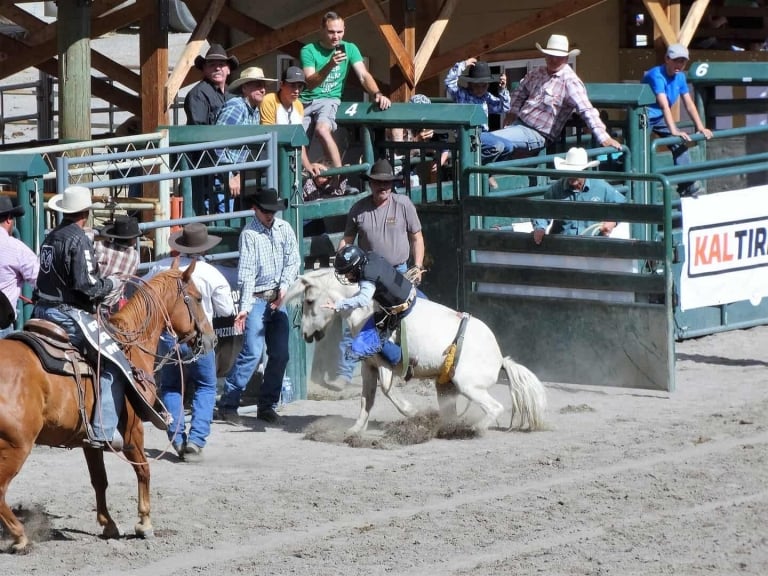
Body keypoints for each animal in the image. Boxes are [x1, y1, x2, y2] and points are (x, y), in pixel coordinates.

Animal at [0, 260, 214, 552]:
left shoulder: (91, 440)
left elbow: (99, 480)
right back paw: (20, 536)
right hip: (16, 445)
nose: (212, 339)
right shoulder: (134, 430)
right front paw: (144, 523)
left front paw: (109, 524)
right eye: (198, 297)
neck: (130, 349)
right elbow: (143, 468)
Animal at [286, 268, 544, 434]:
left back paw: (473, 428)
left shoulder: (385, 365)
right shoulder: (369, 365)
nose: (306, 334)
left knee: (495, 407)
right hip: (447, 385)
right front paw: (356, 429)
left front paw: (411, 411)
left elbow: (387, 390)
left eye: (309, 301)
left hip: (468, 385)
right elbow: (366, 398)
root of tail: (500, 359)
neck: (368, 312)